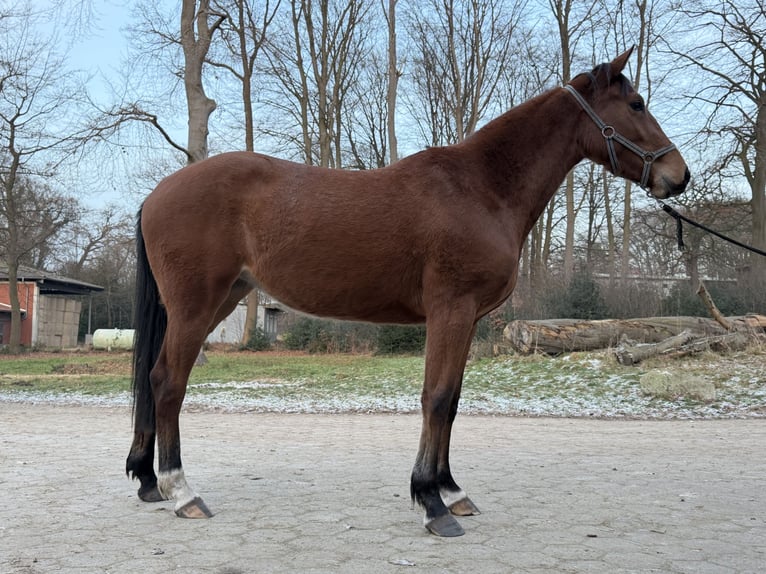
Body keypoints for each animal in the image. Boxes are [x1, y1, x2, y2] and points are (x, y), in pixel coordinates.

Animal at [126, 48, 689, 537]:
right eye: (636, 104)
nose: (678, 175)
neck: (481, 188)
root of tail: (157, 194)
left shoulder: (468, 318)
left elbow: (453, 401)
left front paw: (452, 490)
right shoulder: (450, 310)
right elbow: (435, 399)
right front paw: (431, 502)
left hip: (217, 300)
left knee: (156, 379)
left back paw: (150, 482)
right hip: (196, 306)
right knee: (168, 382)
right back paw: (182, 492)